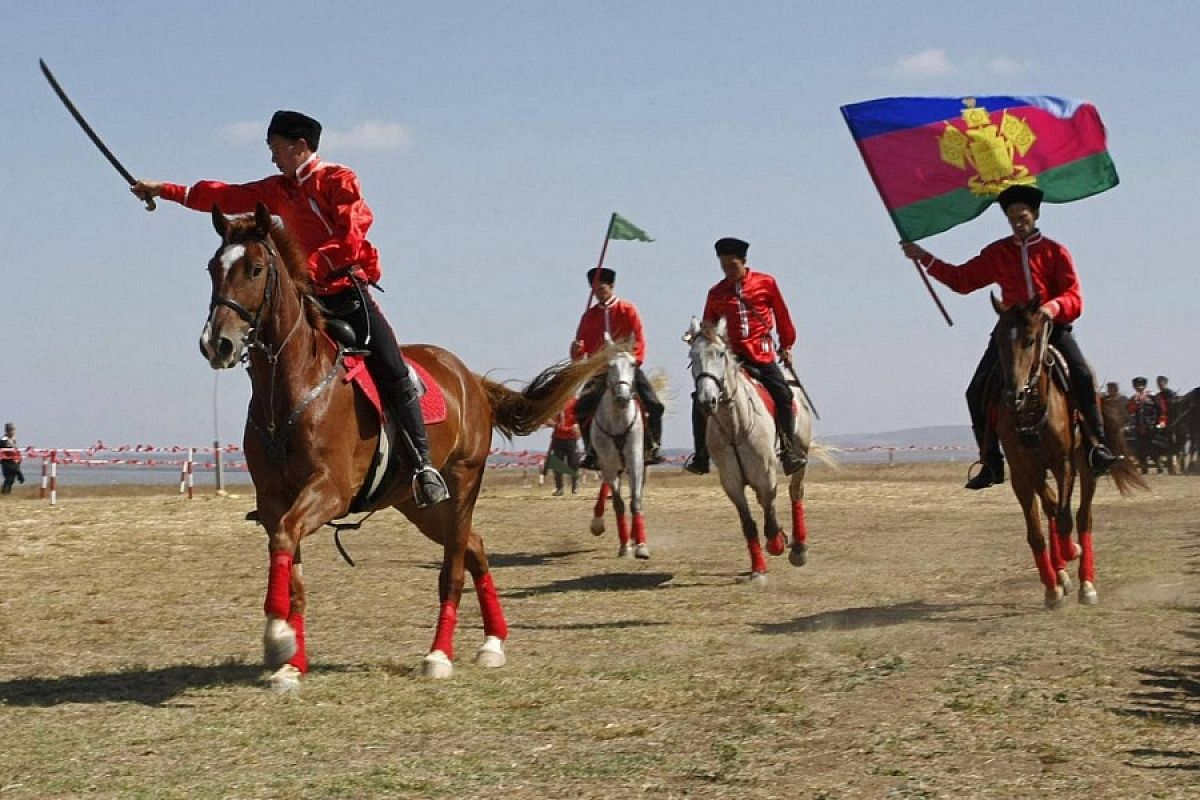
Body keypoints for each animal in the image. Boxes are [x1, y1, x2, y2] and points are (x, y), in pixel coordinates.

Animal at [202, 203, 609, 690]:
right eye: (212, 268)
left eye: (255, 269)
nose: (217, 343)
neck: (293, 389)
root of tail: (471, 380)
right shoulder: (273, 500)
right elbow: (289, 564)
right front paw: (289, 661)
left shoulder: (329, 490)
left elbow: (287, 537)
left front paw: (277, 638)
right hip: (419, 506)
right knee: (476, 547)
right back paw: (493, 643)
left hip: (461, 485)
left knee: (454, 568)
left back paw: (439, 654)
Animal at [588, 343, 652, 556]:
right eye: (610, 365)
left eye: (633, 364)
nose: (622, 398)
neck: (617, 418)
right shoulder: (607, 462)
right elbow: (618, 503)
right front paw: (624, 546)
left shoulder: (635, 460)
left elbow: (635, 501)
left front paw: (640, 545)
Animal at [686, 316, 816, 585]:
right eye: (692, 356)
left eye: (721, 353)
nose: (706, 401)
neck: (735, 426)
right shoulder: (732, 483)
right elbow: (749, 524)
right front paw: (758, 569)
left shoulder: (765, 476)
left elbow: (769, 518)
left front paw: (777, 543)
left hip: (801, 454)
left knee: (796, 492)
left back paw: (798, 548)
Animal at [988, 293, 1147, 606]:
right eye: (998, 340)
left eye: (1030, 339)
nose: (1013, 395)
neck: (1031, 411)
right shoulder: (1023, 472)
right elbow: (1039, 527)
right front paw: (1053, 587)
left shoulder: (1064, 464)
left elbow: (1064, 517)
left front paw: (1071, 551)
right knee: (1053, 511)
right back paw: (1061, 575)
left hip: (1087, 466)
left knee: (1084, 517)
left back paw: (1086, 582)